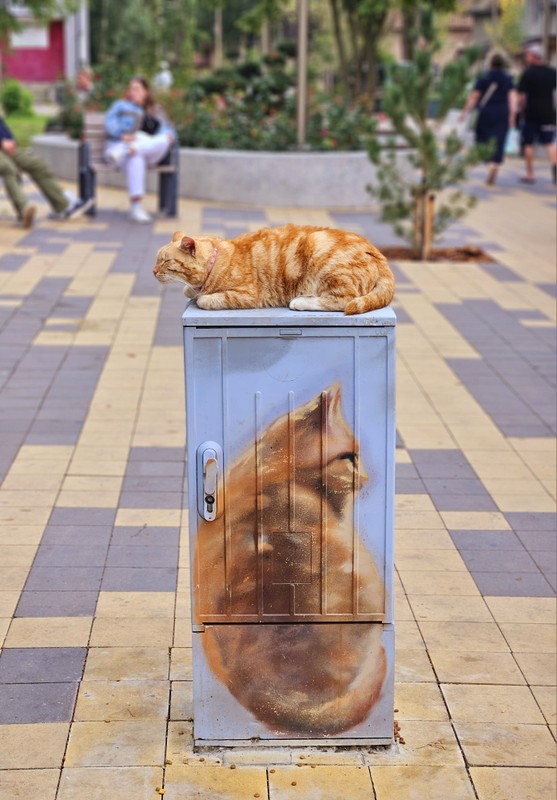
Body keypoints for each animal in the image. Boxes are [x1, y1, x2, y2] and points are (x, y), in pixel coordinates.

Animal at [153, 224, 395, 315]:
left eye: (164, 261)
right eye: (157, 261)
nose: (153, 272)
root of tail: (378, 253)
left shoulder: (247, 294)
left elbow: (204, 299)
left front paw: (201, 295)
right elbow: (190, 290)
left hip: (322, 254)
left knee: (343, 301)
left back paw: (300, 302)